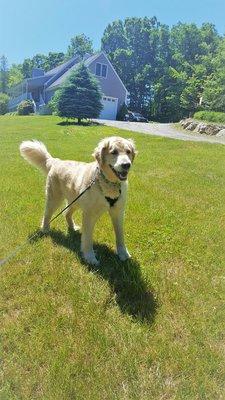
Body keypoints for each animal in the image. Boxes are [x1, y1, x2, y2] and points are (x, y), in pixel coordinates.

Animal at [19, 138, 135, 266]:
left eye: (128, 152)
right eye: (114, 152)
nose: (126, 165)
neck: (109, 183)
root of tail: (56, 161)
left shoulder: (118, 212)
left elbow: (120, 236)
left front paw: (123, 254)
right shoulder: (89, 215)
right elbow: (87, 239)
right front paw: (90, 257)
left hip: (75, 201)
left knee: (66, 213)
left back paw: (72, 227)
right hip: (55, 200)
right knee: (47, 214)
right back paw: (45, 229)